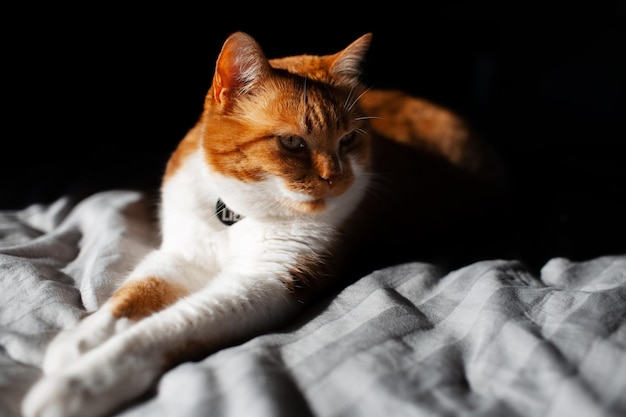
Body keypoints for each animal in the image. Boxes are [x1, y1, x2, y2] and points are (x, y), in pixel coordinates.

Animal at [20, 30, 502, 414]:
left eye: (349, 140)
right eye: (292, 143)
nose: (337, 178)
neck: (235, 214)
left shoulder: (264, 284)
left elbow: (166, 328)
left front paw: (80, 384)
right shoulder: (181, 256)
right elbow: (130, 297)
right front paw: (80, 341)